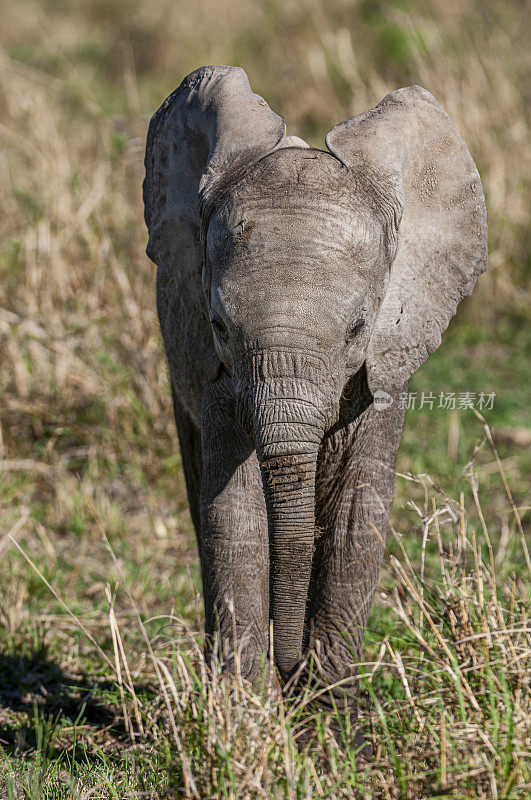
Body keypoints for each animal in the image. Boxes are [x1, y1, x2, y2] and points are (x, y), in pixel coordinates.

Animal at [143, 69, 488, 736]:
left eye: (358, 330)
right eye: (220, 327)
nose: (288, 665)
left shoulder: (382, 372)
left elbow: (358, 518)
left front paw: (331, 729)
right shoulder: (219, 378)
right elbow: (235, 517)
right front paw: (244, 722)